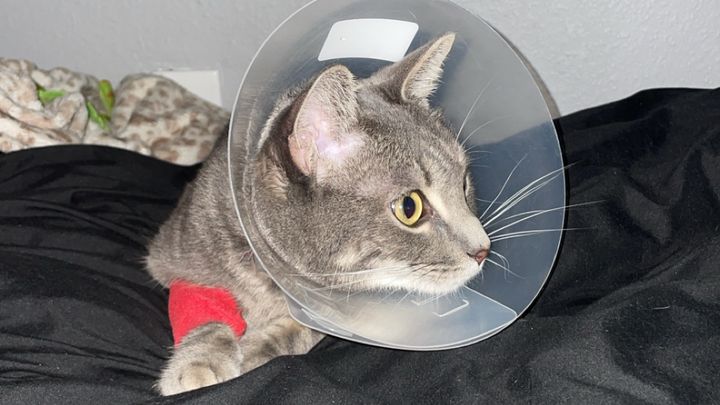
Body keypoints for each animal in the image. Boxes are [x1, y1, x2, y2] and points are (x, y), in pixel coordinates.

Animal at [145, 33, 491, 396]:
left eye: (464, 183)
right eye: (409, 208)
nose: (484, 250)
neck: (272, 278)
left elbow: (299, 330)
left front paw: (253, 349)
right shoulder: (174, 258)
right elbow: (206, 312)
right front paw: (199, 363)